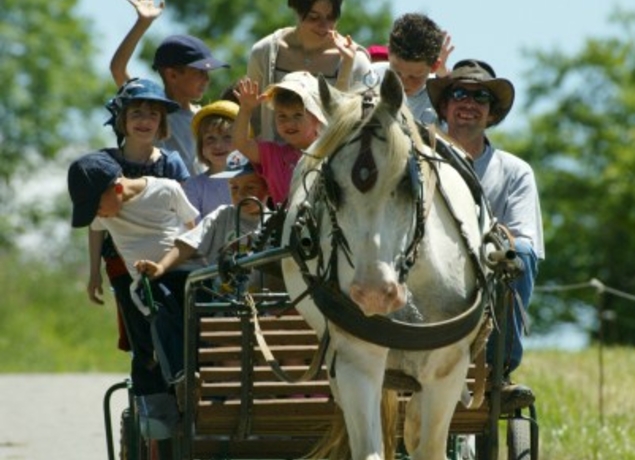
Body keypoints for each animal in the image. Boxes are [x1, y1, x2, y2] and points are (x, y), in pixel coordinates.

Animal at [280, 69, 494, 460]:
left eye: (407, 181)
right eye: (330, 188)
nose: (375, 293)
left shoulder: (447, 369)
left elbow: (430, 447)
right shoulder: (356, 358)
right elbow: (370, 449)